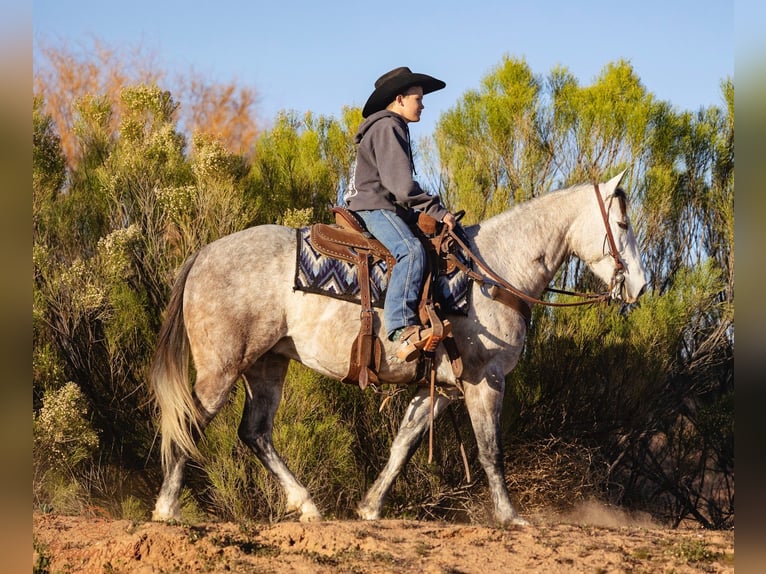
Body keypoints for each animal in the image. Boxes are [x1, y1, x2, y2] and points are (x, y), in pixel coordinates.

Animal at [150, 171, 647, 526]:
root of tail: (204, 253)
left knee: (255, 433)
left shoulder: (440, 390)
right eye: (622, 223)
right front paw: (511, 517)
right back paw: (167, 508)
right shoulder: (484, 379)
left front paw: (370, 507)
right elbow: (491, 449)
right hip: (222, 368)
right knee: (190, 423)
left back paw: (307, 505)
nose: (640, 287)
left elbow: (403, 445)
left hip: (266, 366)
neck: (494, 273)